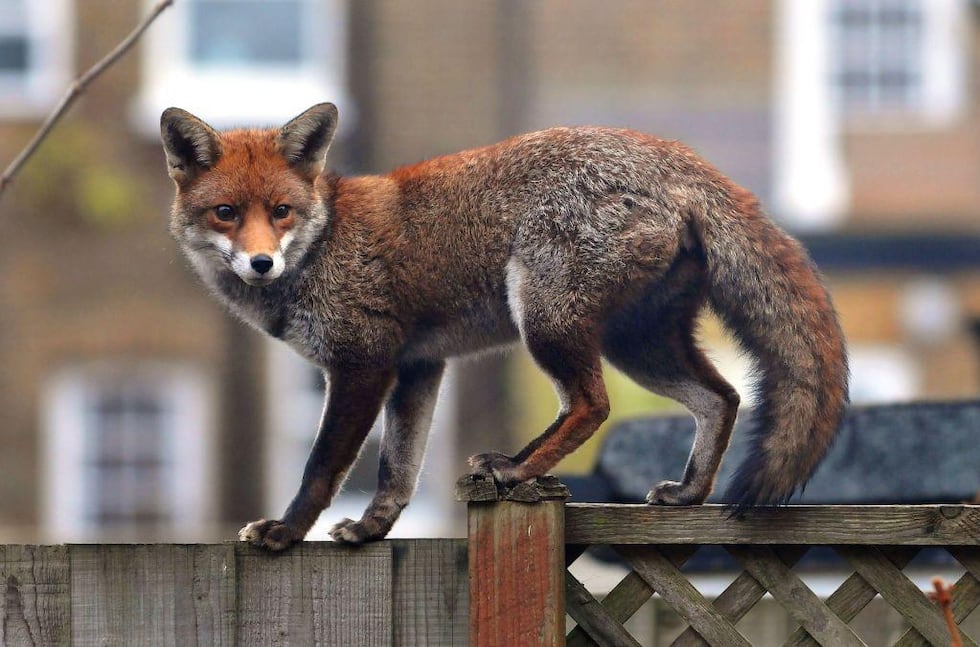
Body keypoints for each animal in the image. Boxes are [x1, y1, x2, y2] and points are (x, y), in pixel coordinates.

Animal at [160, 103, 848, 551]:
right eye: (226, 213)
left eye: (280, 212)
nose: (261, 262)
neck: (324, 245)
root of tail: (677, 157)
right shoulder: (418, 366)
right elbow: (397, 471)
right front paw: (373, 529)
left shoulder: (364, 362)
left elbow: (322, 467)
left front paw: (285, 533)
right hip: (636, 344)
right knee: (721, 398)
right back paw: (687, 493)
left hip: (547, 318)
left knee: (592, 406)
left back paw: (517, 473)